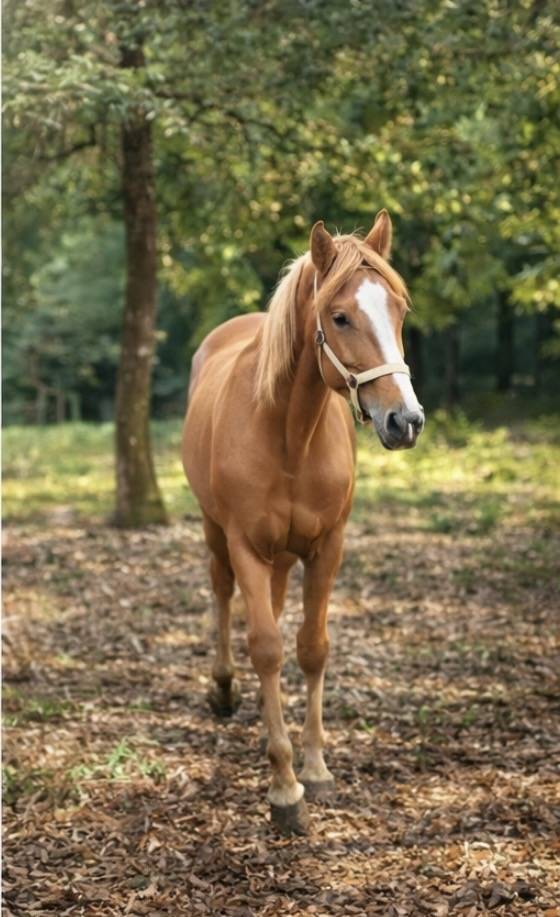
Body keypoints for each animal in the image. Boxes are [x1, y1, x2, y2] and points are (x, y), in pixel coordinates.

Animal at [182, 210, 424, 834]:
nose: (405, 420)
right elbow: (266, 646)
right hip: (215, 534)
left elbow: (312, 647)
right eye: (339, 317)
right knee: (223, 596)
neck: (289, 434)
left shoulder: (326, 546)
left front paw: (313, 768)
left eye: (399, 310)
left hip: (285, 555)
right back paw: (225, 689)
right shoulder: (244, 544)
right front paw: (284, 788)